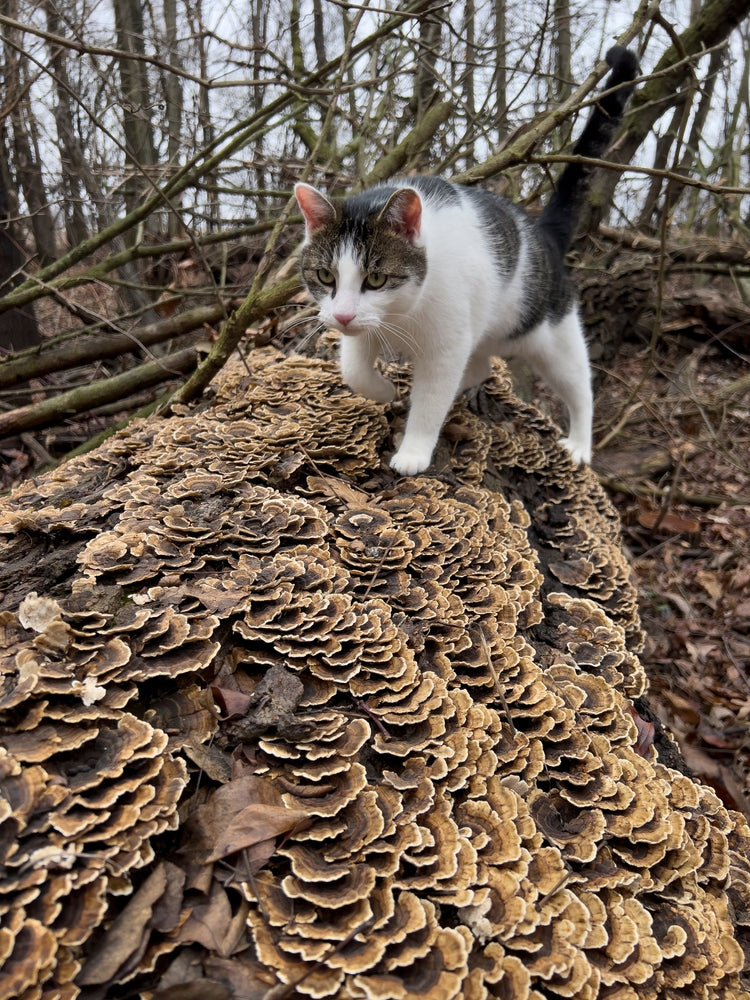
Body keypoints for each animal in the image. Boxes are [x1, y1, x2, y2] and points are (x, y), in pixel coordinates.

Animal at [294, 48, 640, 478]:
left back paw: (579, 444)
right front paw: (384, 390)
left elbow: (430, 400)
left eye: (375, 278)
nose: (341, 316)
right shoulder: (364, 329)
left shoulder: (446, 344)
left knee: (579, 386)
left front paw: (414, 450)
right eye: (325, 275)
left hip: (554, 337)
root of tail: (541, 232)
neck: (401, 316)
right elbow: (353, 370)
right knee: (479, 367)